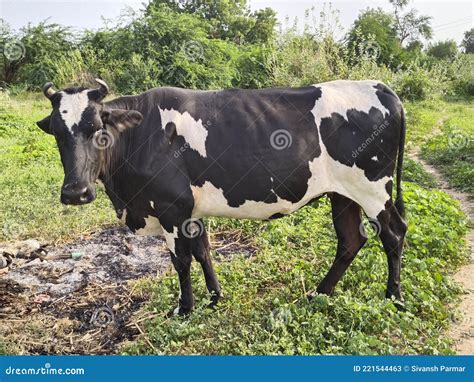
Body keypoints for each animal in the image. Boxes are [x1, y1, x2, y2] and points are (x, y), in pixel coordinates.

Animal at [37, 79, 408, 314]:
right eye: (56, 132)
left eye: (98, 129)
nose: (75, 192)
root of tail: (381, 86)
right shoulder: (191, 211)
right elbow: (204, 253)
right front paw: (215, 299)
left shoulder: (171, 209)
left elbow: (181, 261)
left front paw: (184, 309)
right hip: (342, 194)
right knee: (350, 240)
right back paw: (319, 293)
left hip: (374, 189)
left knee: (393, 234)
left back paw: (394, 298)